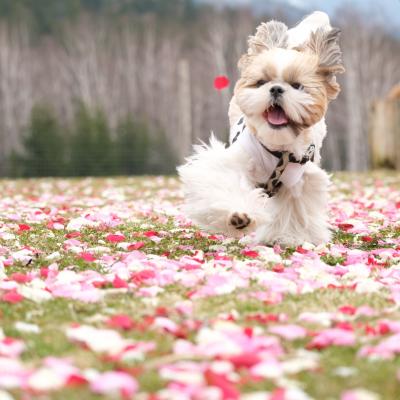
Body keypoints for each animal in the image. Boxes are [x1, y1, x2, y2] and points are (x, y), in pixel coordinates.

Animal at [178, 10, 344, 245]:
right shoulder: (235, 160)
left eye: (297, 86)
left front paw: (287, 237)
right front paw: (238, 216)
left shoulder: (299, 180)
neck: (277, 149)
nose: (276, 88)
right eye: (261, 82)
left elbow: (294, 208)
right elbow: (227, 181)